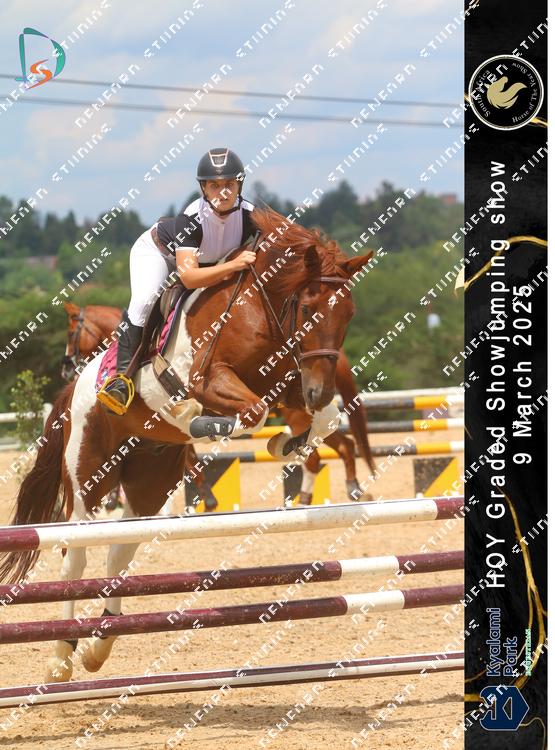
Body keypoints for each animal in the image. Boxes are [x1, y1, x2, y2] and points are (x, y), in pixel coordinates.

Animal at [61, 303, 375, 505]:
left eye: (70, 333)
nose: (66, 368)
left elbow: (192, 459)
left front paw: (207, 498)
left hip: (297, 417)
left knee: (331, 449)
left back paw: (348, 489)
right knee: (326, 450)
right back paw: (321, 493)